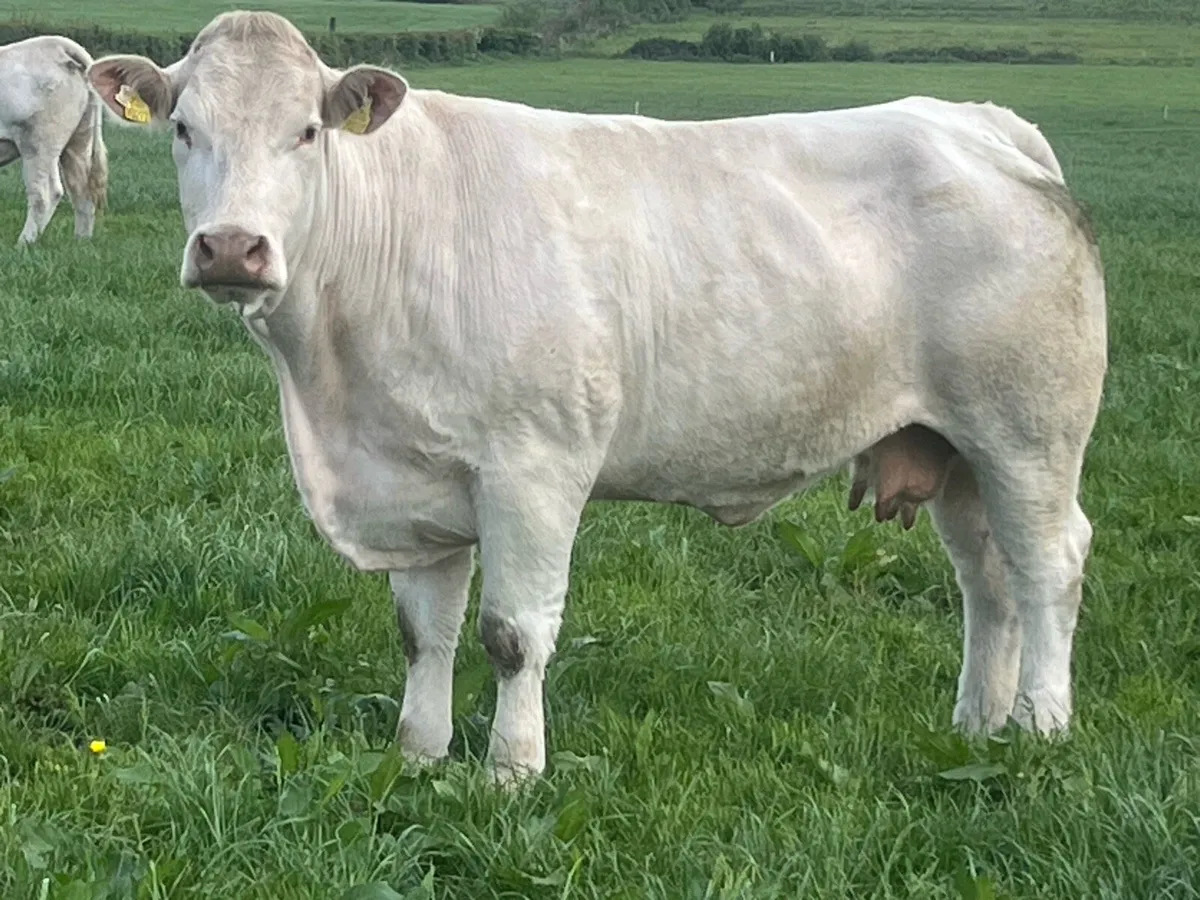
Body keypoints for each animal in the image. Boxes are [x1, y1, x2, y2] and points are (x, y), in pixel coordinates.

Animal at [0, 34, 109, 244]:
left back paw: (23, 243)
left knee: (45, 193)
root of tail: (56, 44)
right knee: (82, 191)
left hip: (39, 143)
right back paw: (81, 241)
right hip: (79, 141)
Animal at [87, 10, 1108, 785]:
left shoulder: (534, 466)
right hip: (955, 447)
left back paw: (1041, 727)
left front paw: (511, 772)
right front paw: (417, 756)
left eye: (306, 130)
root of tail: (977, 121)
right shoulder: (411, 479)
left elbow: (511, 634)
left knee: (1049, 564)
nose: (232, 247)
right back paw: (976, 723)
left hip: (1027, 433)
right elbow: (424, 634)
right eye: (183, 129)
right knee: (988, 578)